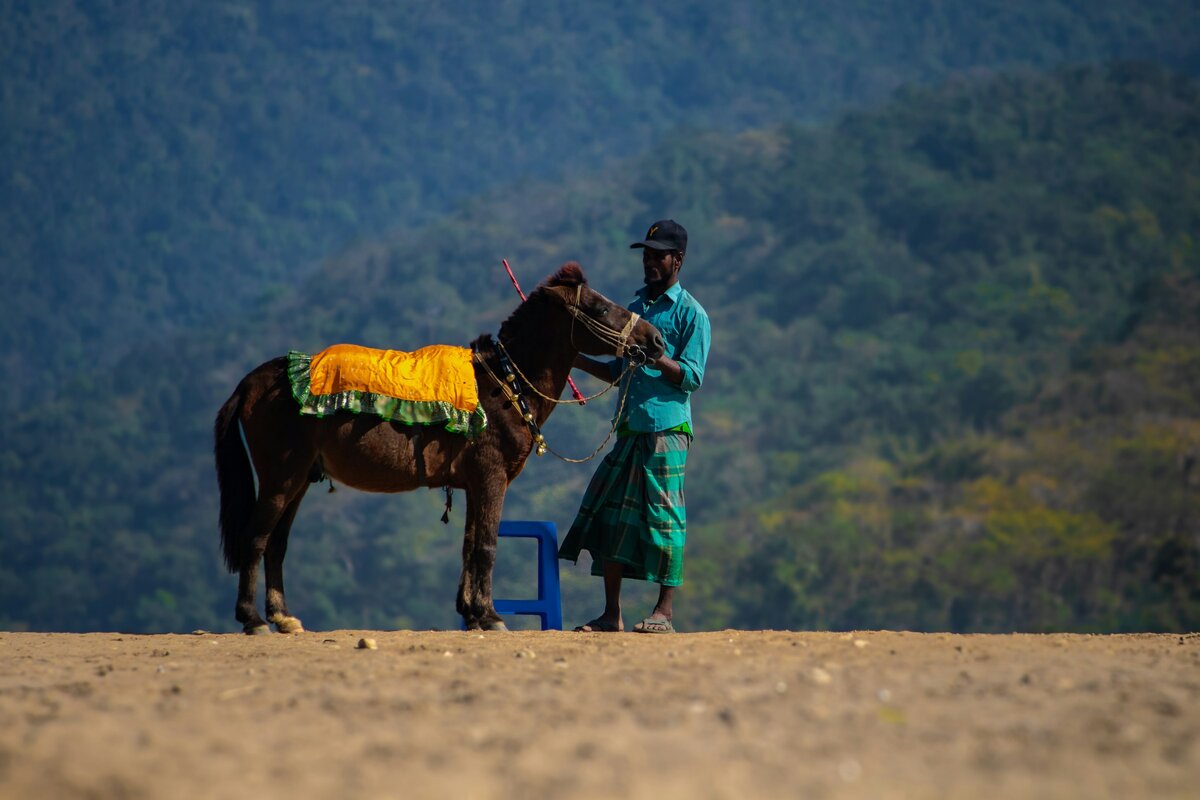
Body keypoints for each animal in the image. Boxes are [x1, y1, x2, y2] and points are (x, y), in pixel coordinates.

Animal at [216, 266, 667, 633]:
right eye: (600, 307)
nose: (657, 340)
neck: (502, 384)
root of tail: (251, 383)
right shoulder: (491, 477)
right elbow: (486, 545)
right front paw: (490, 615)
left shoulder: (473, 484)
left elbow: (469, 545)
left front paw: (471, 612)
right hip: (281, 477)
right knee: (255, 538)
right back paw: (253, 620)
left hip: (298, 480)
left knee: (276, 543)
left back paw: (282, 617)